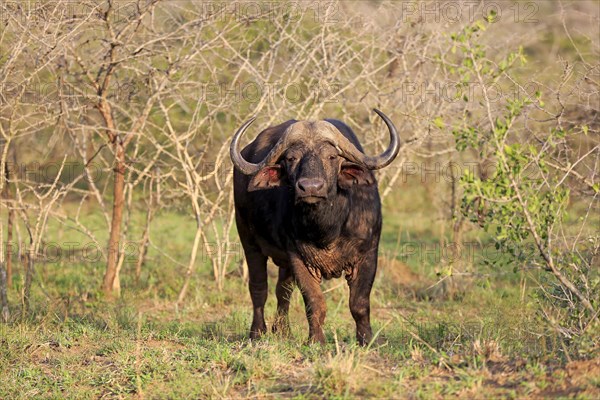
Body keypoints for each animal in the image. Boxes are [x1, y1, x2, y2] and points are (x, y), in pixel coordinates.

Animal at [230, 109, 398, 344]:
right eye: (291, 158)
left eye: (332, 157)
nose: (310, 187)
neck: (327, 229)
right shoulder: (298, 258)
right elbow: (314, 302)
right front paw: (316, 340)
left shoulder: (368, 254)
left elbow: (359, 303)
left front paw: (366, 339)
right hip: (249, 242)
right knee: (259, 288)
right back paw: (257, 332)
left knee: (282, 290)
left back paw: (283, 331)